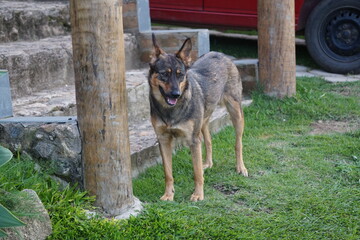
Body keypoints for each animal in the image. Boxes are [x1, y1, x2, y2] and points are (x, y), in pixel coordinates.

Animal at [148, 34, 246, 202]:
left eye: (180, 75)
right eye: (164, 74)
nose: (176, 94)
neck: (170, 111)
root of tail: (219, 53)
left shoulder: (193, 141)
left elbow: (197, 172)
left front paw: (198, 194)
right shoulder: (163, 140)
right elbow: (168, 173)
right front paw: (168, 194)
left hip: (236, 114)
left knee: (238, 144)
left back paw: (241, 167)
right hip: (203, 122)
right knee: (208, 140)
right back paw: (208, 163)